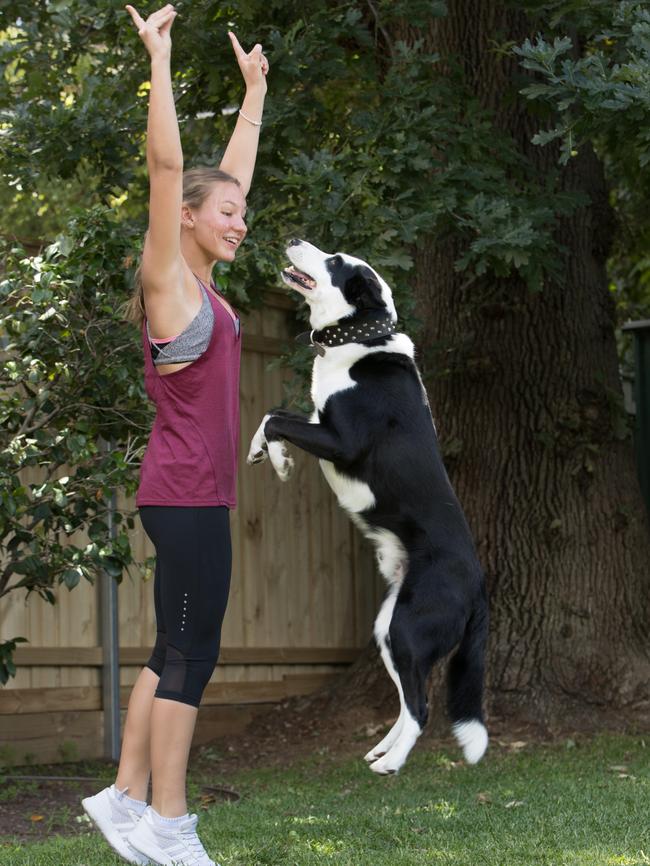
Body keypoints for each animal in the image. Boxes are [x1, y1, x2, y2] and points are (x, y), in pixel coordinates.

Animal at [247, 240, 486, 772]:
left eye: (335, 262)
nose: (294, 239)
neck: (359, 342)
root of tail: (480, 587)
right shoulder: (317, 422)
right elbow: (274, 414)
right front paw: (266, 455)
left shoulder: (341, 441)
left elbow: (276, 419)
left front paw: (277, 459)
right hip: (387, 629)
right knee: (406, 701)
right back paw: (381, 749)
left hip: (408, 629)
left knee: (421, 706)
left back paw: (391, 764)